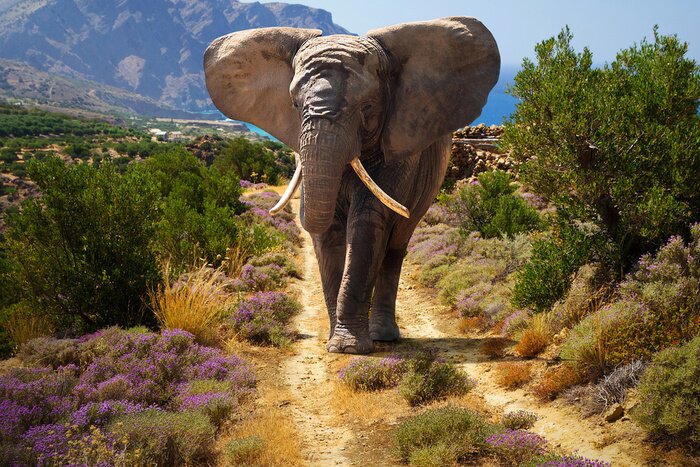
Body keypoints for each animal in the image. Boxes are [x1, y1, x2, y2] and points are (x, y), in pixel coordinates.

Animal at [204, 17, 500, 353]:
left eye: (367, 107)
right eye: (294, 104)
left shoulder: (399, 147)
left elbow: (367, 223)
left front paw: (348, 348)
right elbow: (327, 230)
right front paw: (336, 342)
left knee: (395, 246)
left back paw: (383, 335)